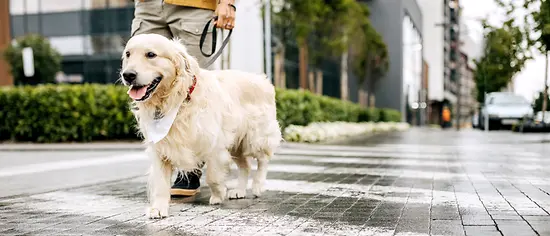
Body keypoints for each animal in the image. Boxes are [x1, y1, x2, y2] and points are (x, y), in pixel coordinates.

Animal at [121, 33, 284, 219]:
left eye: (151, 54)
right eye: (128, 54)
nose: (128, 75)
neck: (178, 100)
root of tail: (262, 79)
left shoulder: (214, 144)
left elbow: (212, 175)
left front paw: (218, 193)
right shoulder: (161, 149)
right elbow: (161, 183)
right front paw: (158, 208)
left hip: (256, 137)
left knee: (263, 160)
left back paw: (257, 185)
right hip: (236, 143)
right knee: (246, 166)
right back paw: (240, 190)